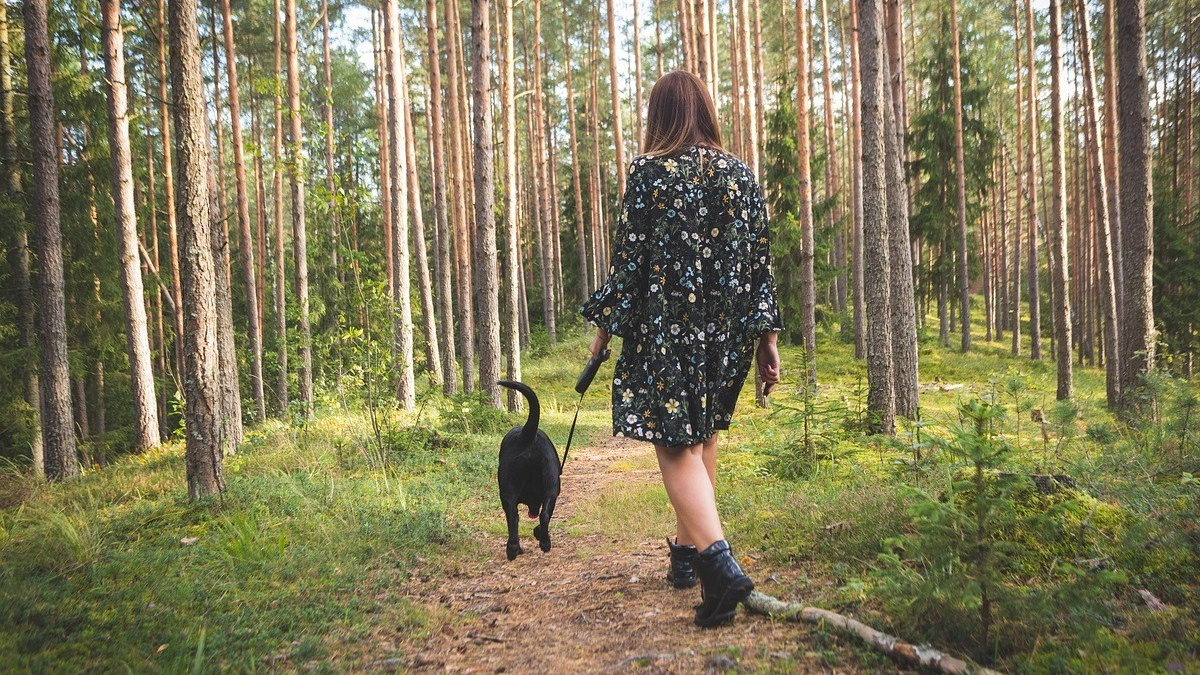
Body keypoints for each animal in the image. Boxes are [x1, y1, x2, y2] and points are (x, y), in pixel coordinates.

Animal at [494, 379, 559, 557]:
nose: (532, 512)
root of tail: (526, 435)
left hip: (512, 492)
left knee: (515, 517)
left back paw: (516, 548)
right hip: (550, 488)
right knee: (540, 515)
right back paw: (539, 543)